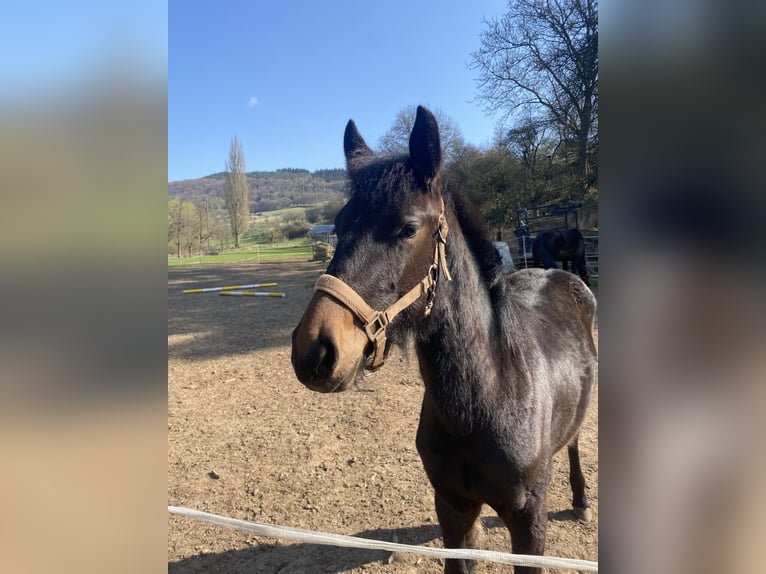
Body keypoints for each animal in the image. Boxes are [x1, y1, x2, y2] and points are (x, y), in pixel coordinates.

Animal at [291, 106, 597, 574]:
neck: (490, 397)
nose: (315, 350)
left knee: (577, 439)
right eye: (340, 225)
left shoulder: (529, 526)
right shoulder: (452, 509)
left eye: (408, 228)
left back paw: (581, 500)